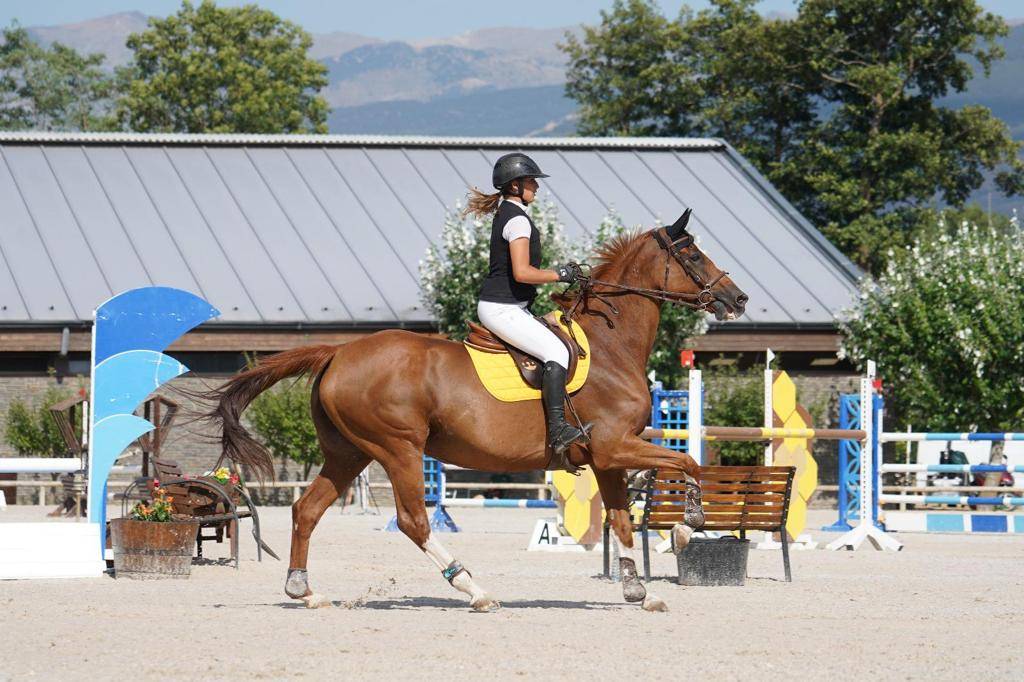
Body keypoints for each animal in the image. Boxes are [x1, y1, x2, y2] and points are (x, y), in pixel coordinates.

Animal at [202, 208, 748, 612]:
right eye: (692, 252)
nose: (737, 298)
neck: (612, 345)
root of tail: (337, 352)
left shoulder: (608, 458)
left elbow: (620, 520)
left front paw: (640, 591)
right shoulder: (615, 446)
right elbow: (687, 461)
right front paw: (686, 527)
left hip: (348, 453)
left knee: (308, 509)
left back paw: (304, 591)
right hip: (398, 448)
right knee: (413, 521)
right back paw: (474, 590)